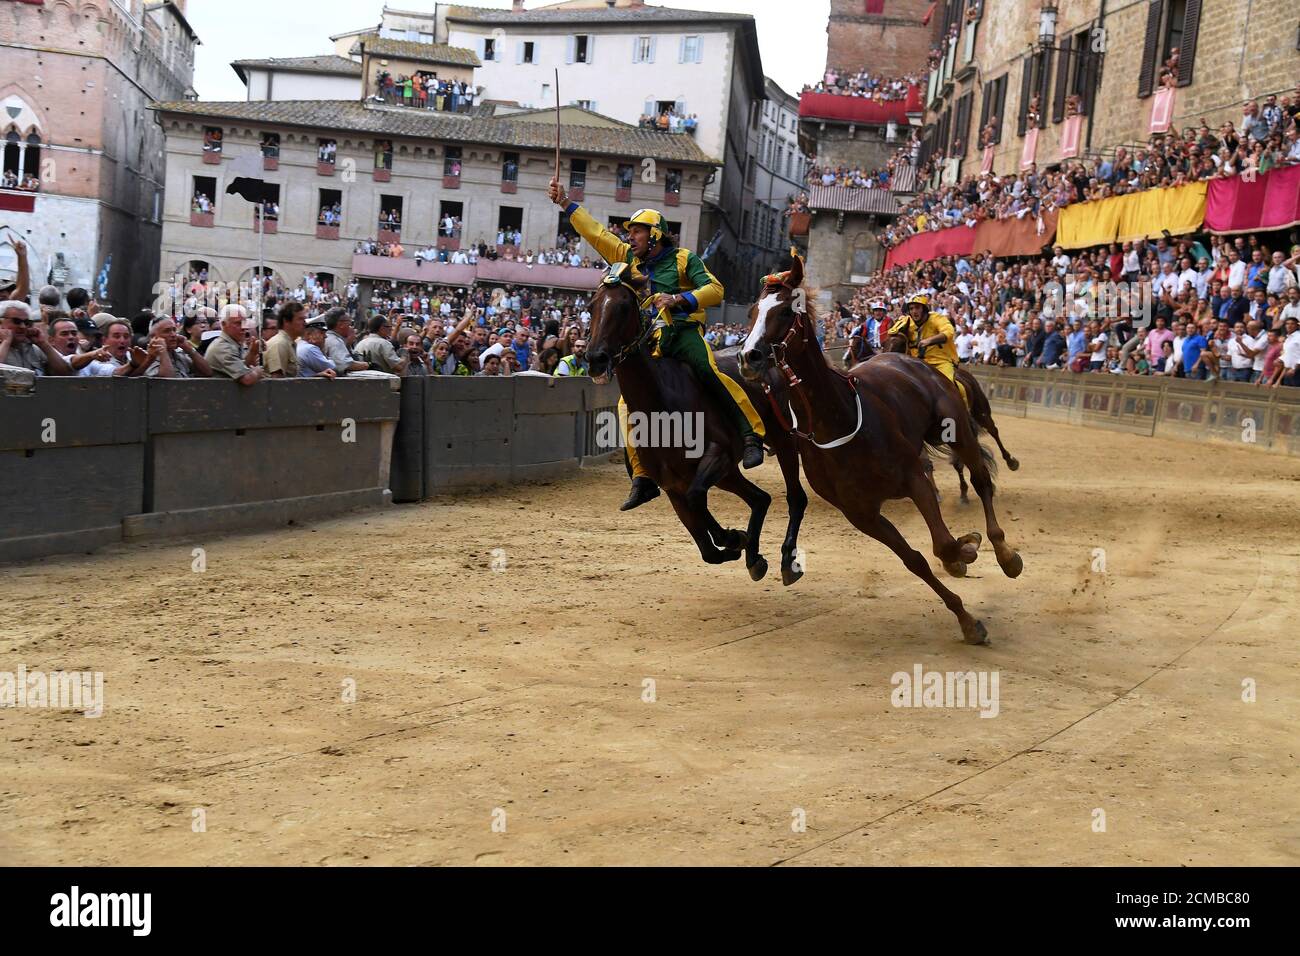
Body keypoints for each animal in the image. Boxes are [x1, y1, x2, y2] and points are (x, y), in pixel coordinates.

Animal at [738, 256, 1019, 642]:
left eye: (784, 310)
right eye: (753, 311)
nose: (748, 357)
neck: (838, 420)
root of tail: (914, 364)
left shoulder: (913, 477)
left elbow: (942, 543)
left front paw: (966, 550)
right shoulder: (862, 514)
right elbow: (916, 560)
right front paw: (966, 616)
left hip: (958, 427)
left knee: (980, 479)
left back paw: (1004, 551)